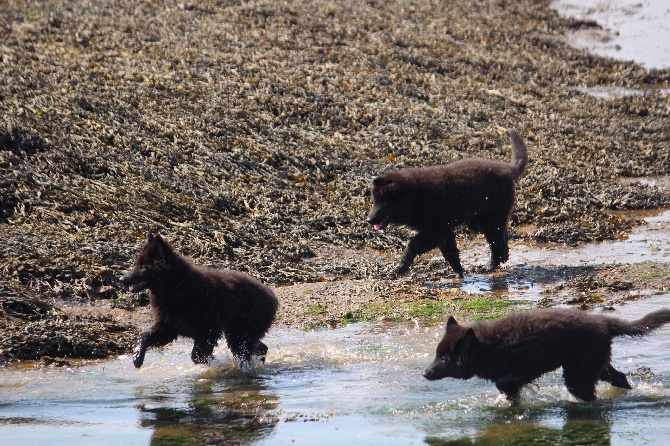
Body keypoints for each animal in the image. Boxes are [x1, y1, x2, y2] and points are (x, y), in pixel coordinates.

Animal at [121, 232, 278, 368]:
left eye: (143, 266)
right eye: (137, 264)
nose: (122, 279)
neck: (175, 288)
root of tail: (273, 297)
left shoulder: (209, 329)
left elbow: (197, 355)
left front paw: (213, 362)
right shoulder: (167, 328)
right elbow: (144, 335)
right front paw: (137, 358)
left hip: (241, 332)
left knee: (245, 353)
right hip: (239, 332)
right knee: (260, 348)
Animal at [368, 128, 532, 278]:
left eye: (384, 200)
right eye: (374, 200)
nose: (369, 220)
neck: (415, 196)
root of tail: (508, 169)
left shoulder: (437, 229)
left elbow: (413, 244)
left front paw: (400, 268)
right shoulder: (444, 230)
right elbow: (450, 252)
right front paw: (459, 273)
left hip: (491, 218)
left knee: (496, 243)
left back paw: (490, 266)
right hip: (480, 220)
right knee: (502, 238)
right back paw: (501, 259)